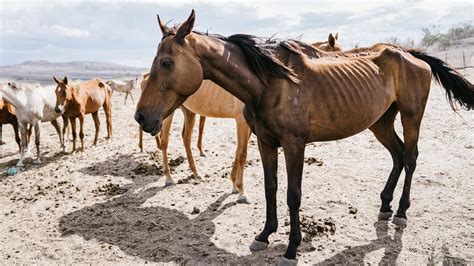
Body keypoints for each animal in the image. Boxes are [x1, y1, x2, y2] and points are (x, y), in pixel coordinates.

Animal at [134, 9, 474, 262]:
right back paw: (385, 207)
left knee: (411, 157)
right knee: (398, 155)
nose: (141, 117)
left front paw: (291, 248)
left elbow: (292, 195)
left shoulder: (294, 145)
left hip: (410, 116)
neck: (270, 83)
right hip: (380, 122)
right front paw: (264, 235)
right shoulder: (266, 142)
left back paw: (401, 212)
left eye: (167, 62)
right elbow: (271, 188)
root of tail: (411, 55)